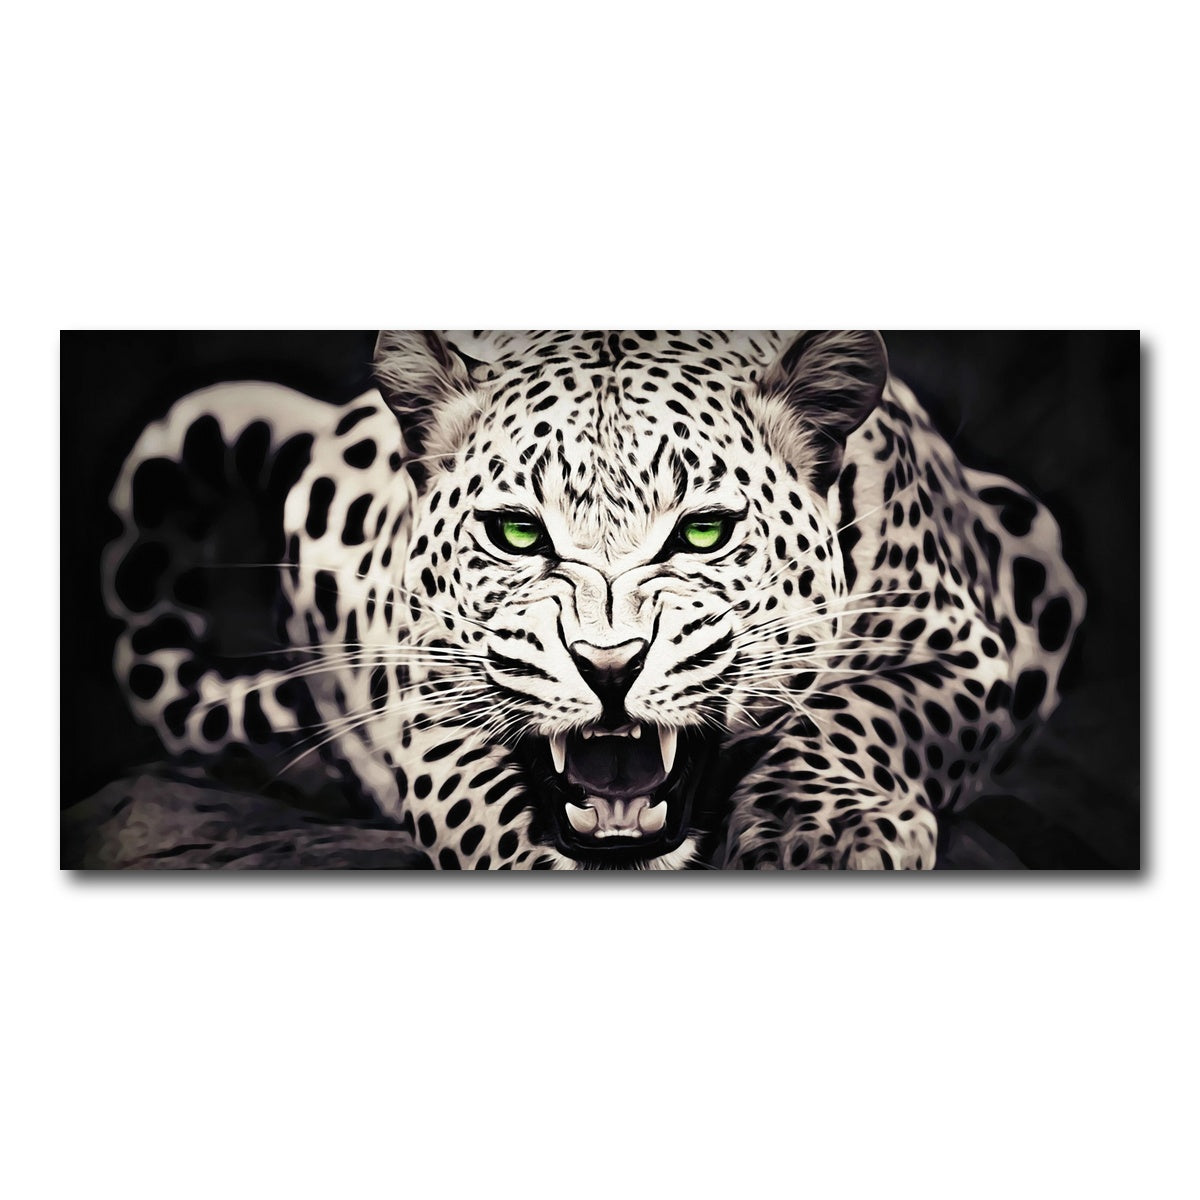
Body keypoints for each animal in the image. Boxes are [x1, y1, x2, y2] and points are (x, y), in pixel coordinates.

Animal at [101, 330, 1085, 869]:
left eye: (702, 532)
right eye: (516, 533)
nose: (608, 667)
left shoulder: (964, 646)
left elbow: (867, 710)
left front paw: (823, 832)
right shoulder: (432, 697)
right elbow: (479, 801)